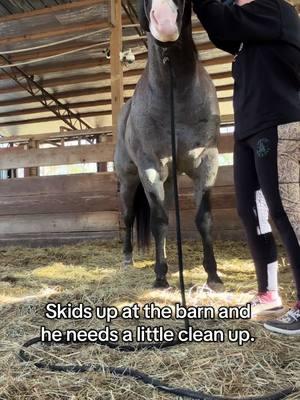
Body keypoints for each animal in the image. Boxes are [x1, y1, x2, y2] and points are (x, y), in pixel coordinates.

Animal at [115, 0, 223, 290]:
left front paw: (213, 275)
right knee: (129, 216)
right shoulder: (150, 168)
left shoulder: (207, 163)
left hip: (170, 180)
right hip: (129, 179)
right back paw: (127, 258)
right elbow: (159, 221)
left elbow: (204, 219)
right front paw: (160, 276)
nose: (164, 23)